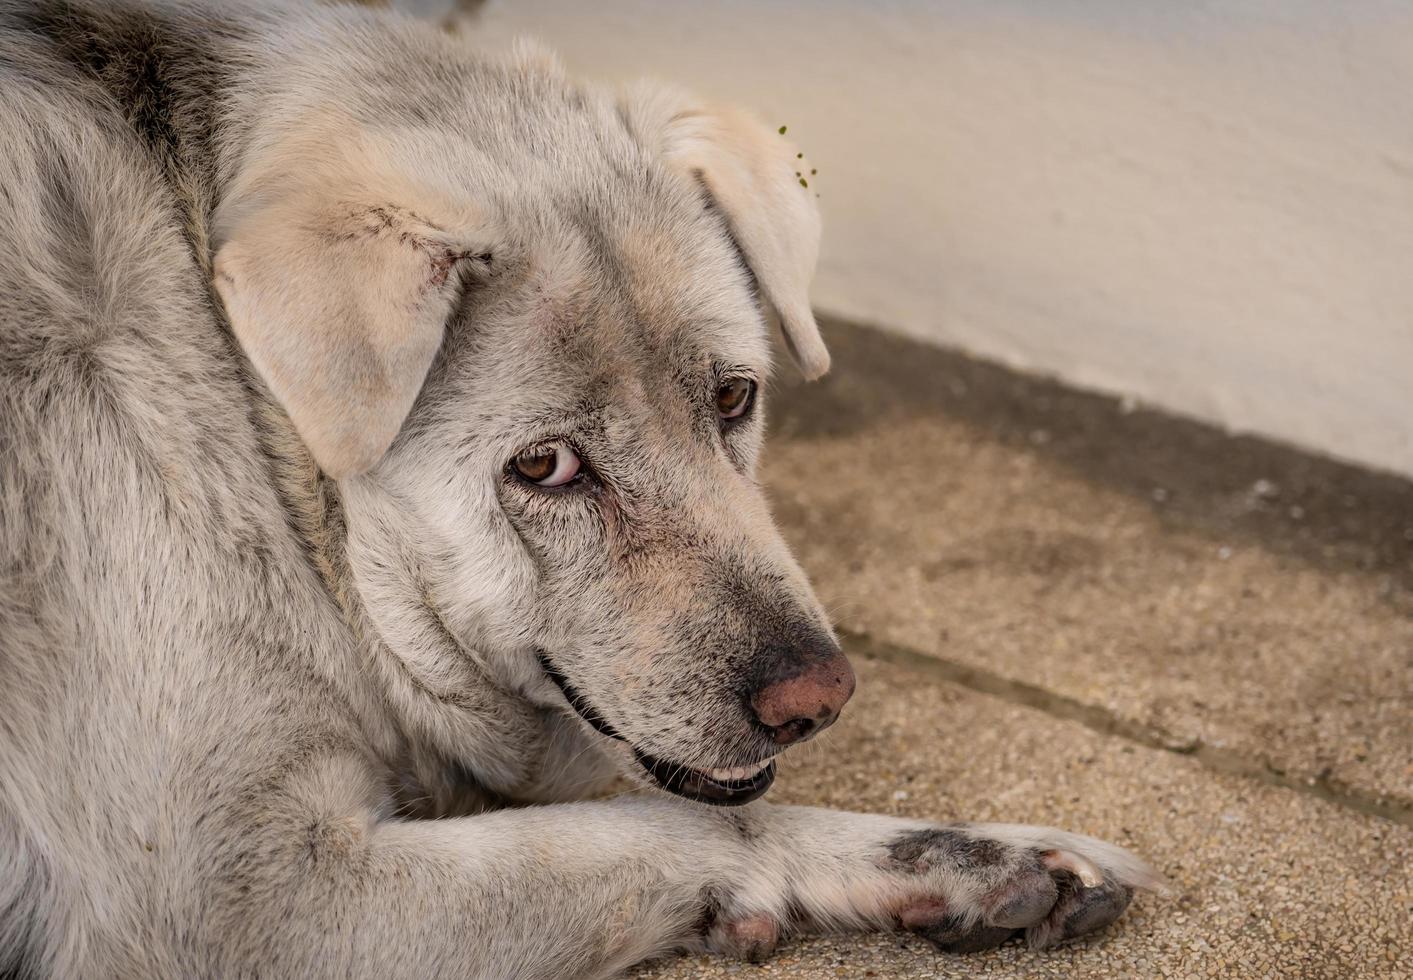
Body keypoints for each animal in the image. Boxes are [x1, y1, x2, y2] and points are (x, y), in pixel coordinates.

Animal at [0, 3, 1158, 977]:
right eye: (544, 467)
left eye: (734, 396)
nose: (817, 704)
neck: (259, 437)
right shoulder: (245, 897)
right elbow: (675, 822)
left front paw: (975, 859)